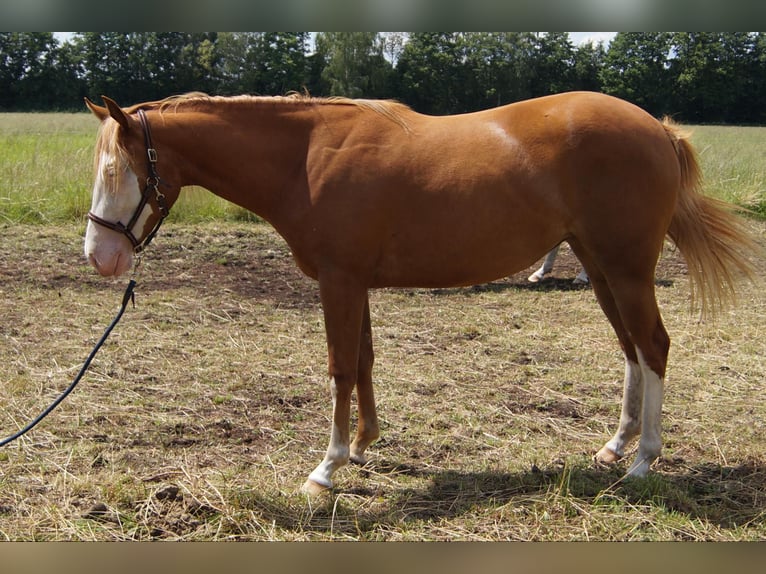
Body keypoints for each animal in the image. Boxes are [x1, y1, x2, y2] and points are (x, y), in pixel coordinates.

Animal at [82, 90, 756, 496]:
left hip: (628, 269)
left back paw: (644, 460)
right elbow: (364, 361)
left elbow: (340, 368)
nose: (100, 257)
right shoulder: (354, 282)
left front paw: (325, 468)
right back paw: (615, 447)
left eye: (119, 171)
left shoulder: (340, 280)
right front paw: (360, 447)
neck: (304, 158)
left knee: (654, 346)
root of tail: (658, 128)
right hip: (603, 268)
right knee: (631, 350)